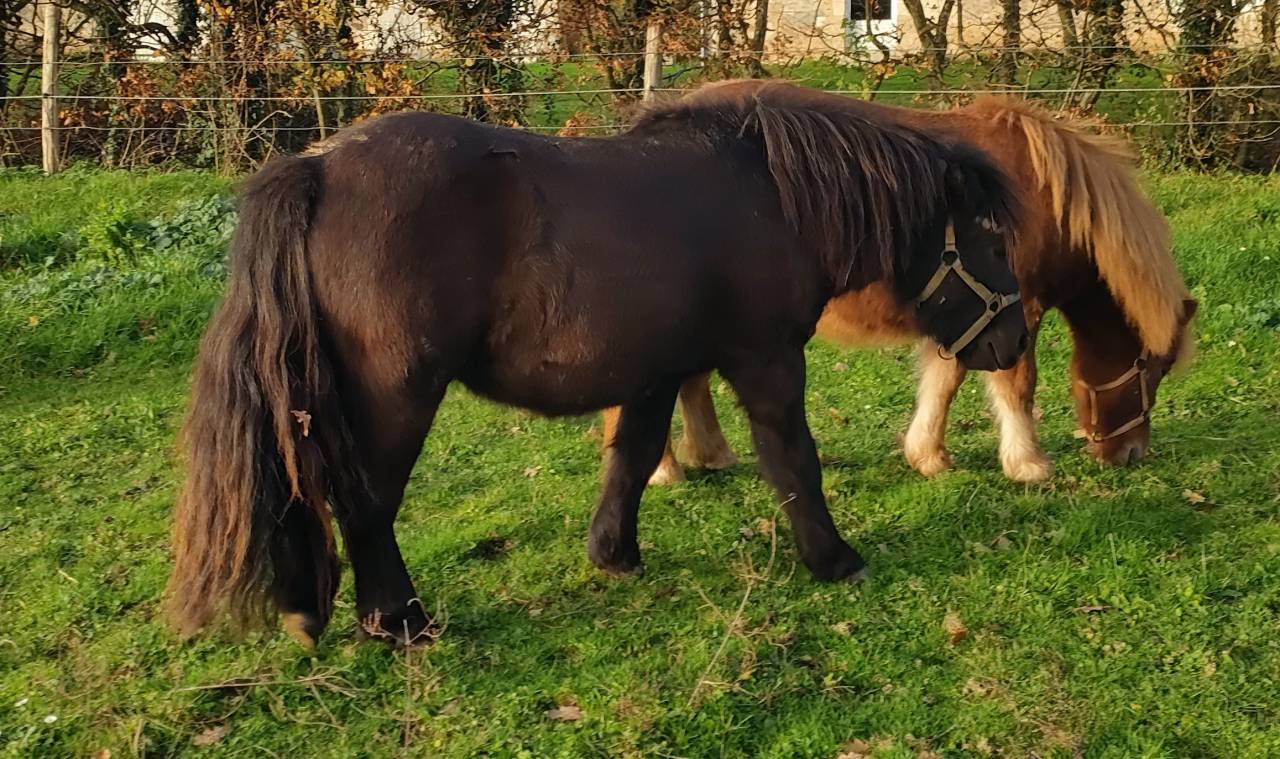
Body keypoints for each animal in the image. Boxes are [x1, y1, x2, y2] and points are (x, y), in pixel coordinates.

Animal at [166, 80, 1029, 648]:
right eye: (988, 238)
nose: (1014, 343)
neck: (772, 197)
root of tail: (315, 167)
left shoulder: (656, 371)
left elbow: (633, 457)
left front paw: (614, 554)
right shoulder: (768, 359)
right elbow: (793, 461)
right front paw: (834, 558)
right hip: (395, 394)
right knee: (367, 500)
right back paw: (400, 619)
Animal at [608, 81, 1196, 487]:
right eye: (1151, 366)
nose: (1131, 453)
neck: (1042, 197)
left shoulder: (969, 312)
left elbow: (944, 379)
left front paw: (928, 455)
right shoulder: (1015, 308)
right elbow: (1016, 384)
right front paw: (1028, 463)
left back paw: (711, 453)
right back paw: (663, 471)